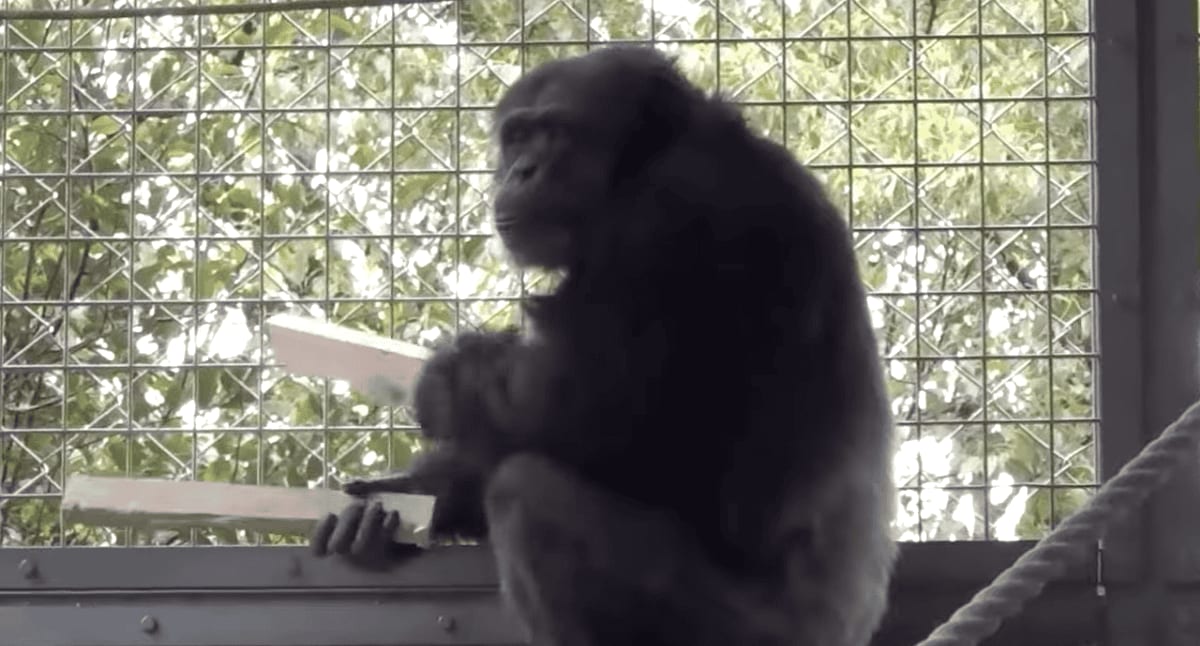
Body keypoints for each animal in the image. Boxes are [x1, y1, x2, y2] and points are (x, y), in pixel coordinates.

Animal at [311, 45, 897, 646]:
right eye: (518, 137)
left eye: (555, 133)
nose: (522, 170)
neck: (639, 166)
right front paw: (399, 502)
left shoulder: (661, 219)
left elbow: (575, 411)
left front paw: (444, 379)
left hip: (743, 629)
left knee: (525, 493)